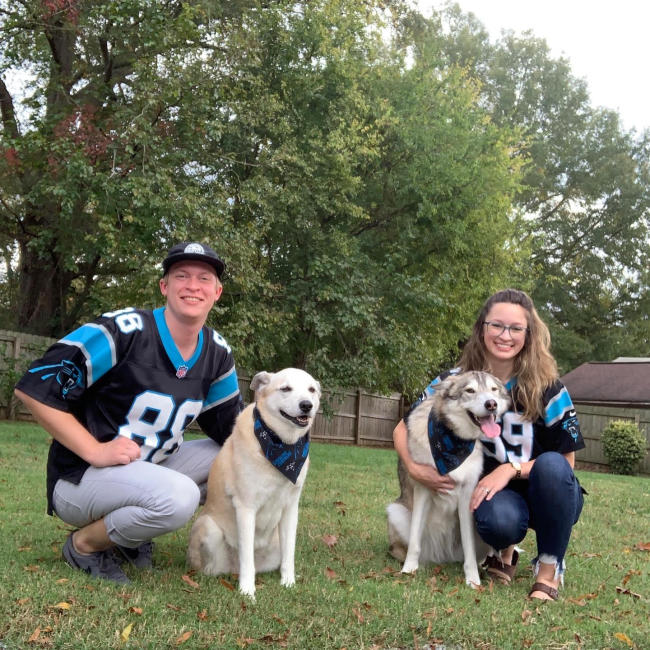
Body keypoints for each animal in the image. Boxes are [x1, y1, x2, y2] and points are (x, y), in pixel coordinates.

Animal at [186, 368, 320, 596]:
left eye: (311, 390)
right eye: (286, 388)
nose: (306, 405)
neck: (282, 446)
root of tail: (231, 569)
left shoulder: (291, 509)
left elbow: (289, 554)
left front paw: (288, 582)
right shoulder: (246, 508)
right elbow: (247, 557)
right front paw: (247, 591)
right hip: (208, 527)